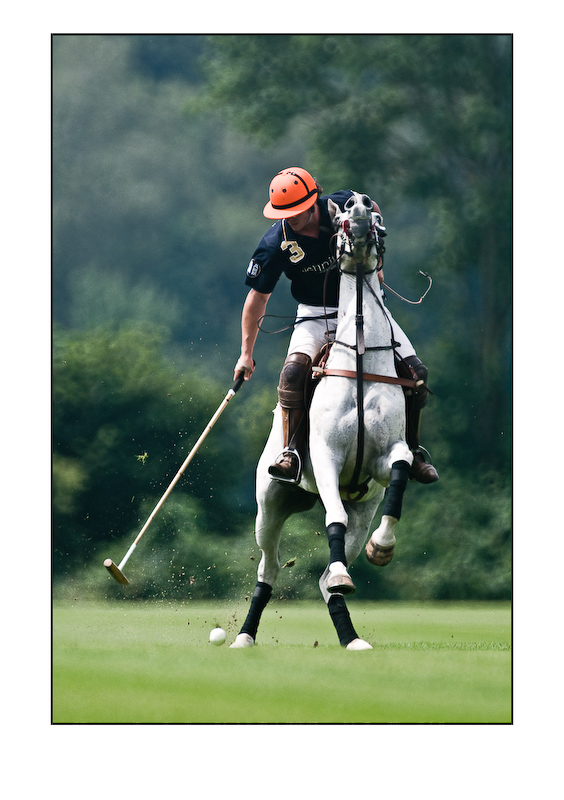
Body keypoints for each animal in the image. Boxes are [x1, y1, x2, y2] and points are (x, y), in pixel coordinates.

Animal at [232, 192, 414, 648]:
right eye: (343, 217)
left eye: (376, 217)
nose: (361, 208)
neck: (362, 356)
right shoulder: (327, 458)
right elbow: (333, 519)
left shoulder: (385, 460)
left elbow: (402, 468)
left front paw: (383, 547)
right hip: (269, 505)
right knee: (268, 568)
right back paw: (244, 636)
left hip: (362, 509)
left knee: (325, 579)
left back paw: (350, 635)